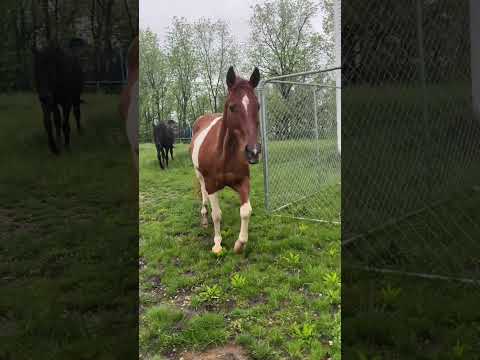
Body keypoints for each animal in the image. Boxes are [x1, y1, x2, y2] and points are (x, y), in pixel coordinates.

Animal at [190, 66, 262, 255]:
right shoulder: (211, 184)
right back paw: (204, 217)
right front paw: (217, 244)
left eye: (258, 106)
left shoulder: (243, 182)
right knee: (204, 195)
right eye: (232, 107)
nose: (253, 152)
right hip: (200, 176)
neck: (224, 154)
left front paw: (240, 243)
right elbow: (216, 214)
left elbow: (246, 211)